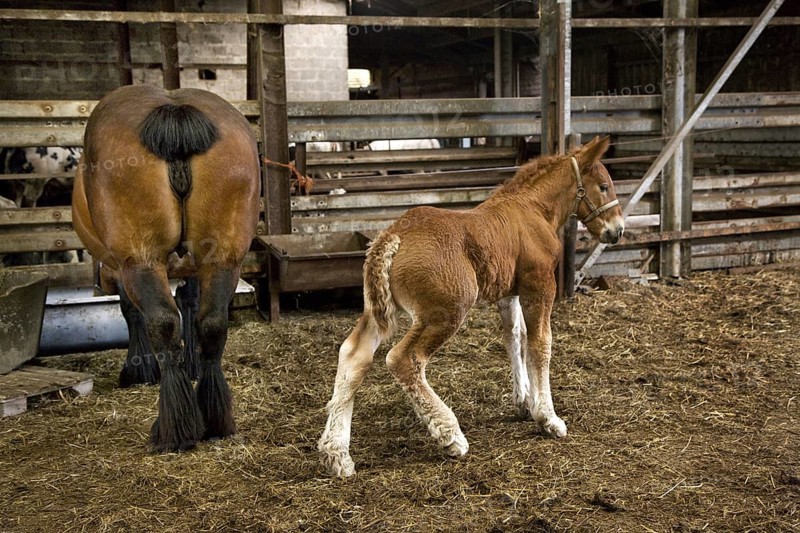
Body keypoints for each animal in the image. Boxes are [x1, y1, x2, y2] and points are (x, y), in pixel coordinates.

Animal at [71, 84, 261, 453]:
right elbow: (191, 306)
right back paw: (214, 417)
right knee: (212, 324)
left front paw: (139, 369)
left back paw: (175, 428)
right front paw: (192, 365)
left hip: (140, 260)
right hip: (224, 258)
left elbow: (132, 313)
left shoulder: (122, 269)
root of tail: (173, 111)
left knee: (162, 323)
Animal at [318, 136, 624, 477]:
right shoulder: (540, 286)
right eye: (604, 186)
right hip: (446, 311)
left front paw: (523, 401)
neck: (533, 210)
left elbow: (515, 338)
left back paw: (337, 454)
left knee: (353, 355)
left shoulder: (509, 293)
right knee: (404, 358)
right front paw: (548, 418)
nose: (618, 229)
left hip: (380, 310)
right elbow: (540, 345)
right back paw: (450, 435)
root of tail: (392, 236)